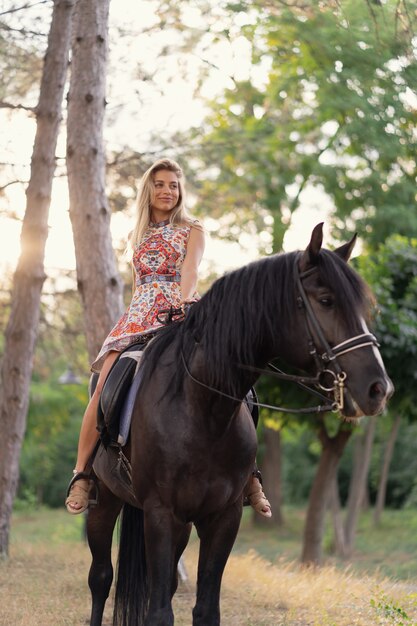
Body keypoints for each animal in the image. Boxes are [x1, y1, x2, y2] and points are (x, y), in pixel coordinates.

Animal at [86, 224, 392, 624]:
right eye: (326, 300)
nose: (378, 389)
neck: (203, 409)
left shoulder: (223, 517)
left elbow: (205, 608)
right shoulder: (159, 513)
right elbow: (158, 610)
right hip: (104, 501)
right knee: (100, 578)